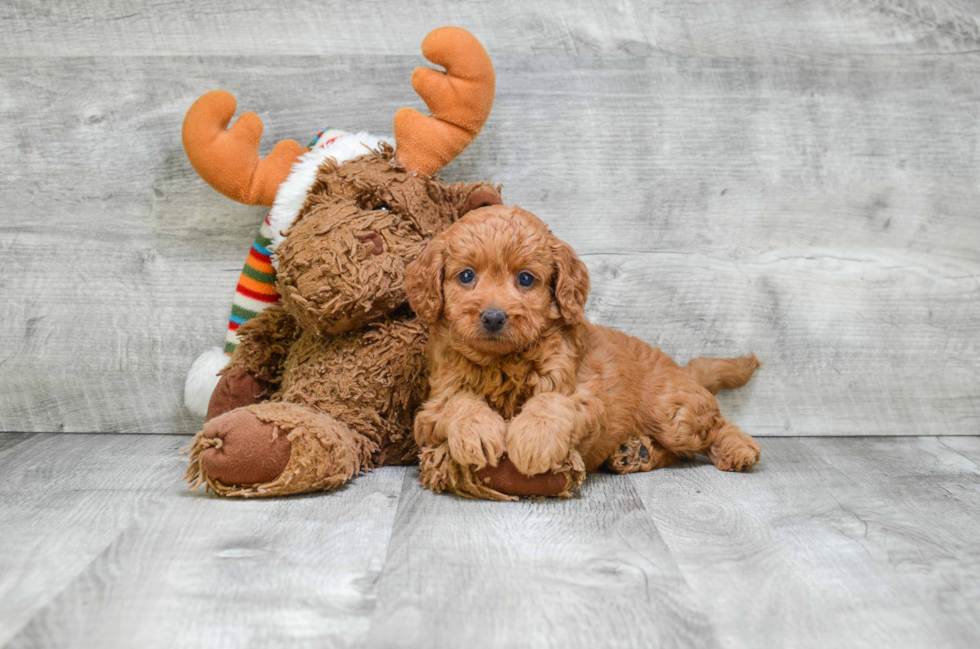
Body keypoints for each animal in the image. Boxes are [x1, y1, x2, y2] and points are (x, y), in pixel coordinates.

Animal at [402, 205, 760, 498]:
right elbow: (458, 403)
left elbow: (550, 404)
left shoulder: (583, 395)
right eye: (466, 275)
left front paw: (534, 439)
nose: (493, 317)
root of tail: (680, 368)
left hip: (672, 412)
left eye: (526, 279)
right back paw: (636, 453)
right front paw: (477, 432)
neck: (502, 362)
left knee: (712, 427)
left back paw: (739, 450)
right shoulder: (432, 407)